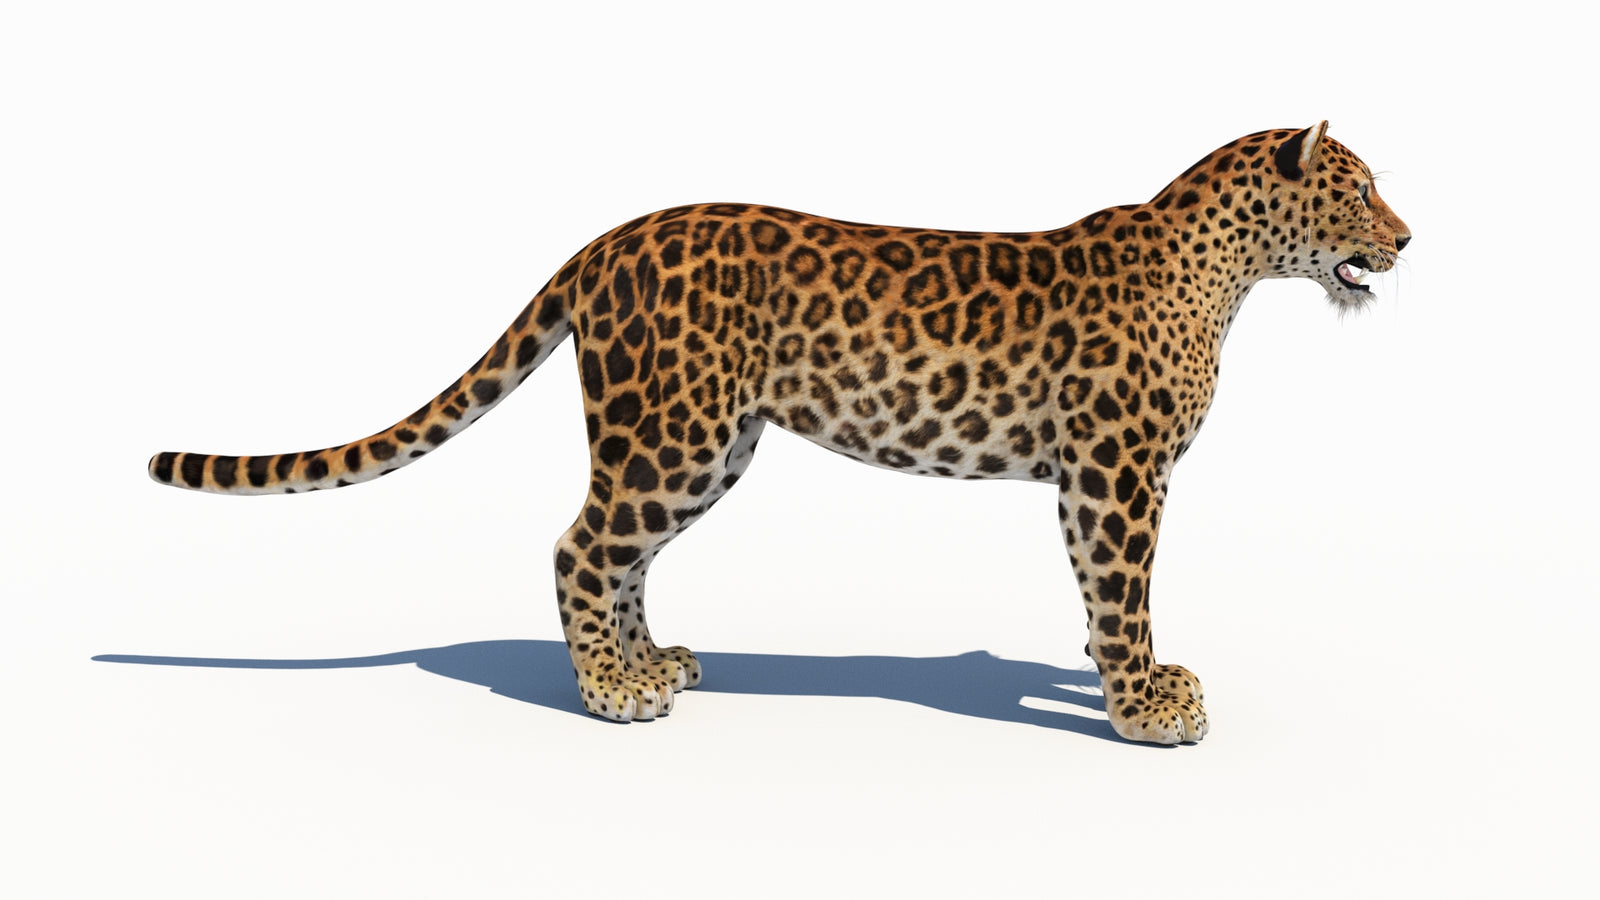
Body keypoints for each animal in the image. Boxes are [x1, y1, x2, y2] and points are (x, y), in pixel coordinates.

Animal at [148, 121, 1410, 744]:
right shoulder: (1115, 472)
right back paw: (609, 696)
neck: (1226, 268)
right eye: (1356, 190)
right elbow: (1122, 596)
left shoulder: (1097, 476)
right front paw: (1144, 708)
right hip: (675, 435)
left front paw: (1117, 688)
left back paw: (649, 662)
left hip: (701, 444)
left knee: (619, 555)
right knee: (579, 545)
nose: (1406, 239)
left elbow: (1100, 605)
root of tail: (603, 242)